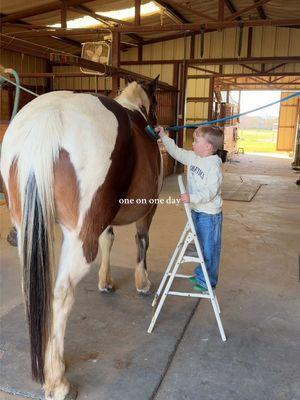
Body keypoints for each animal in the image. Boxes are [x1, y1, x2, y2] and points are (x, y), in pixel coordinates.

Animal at [0, 76, 163, 400]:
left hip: (26, 232)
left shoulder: (106, 221)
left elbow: (109, 240)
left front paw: (106, 282)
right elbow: (142, 241)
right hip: (78, 239)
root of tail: (48, 118)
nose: (156, 125)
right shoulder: (147, 210)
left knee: (32, 290)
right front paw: (142, 283)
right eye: (155, 104)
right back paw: (57, 380)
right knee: (62, 293)